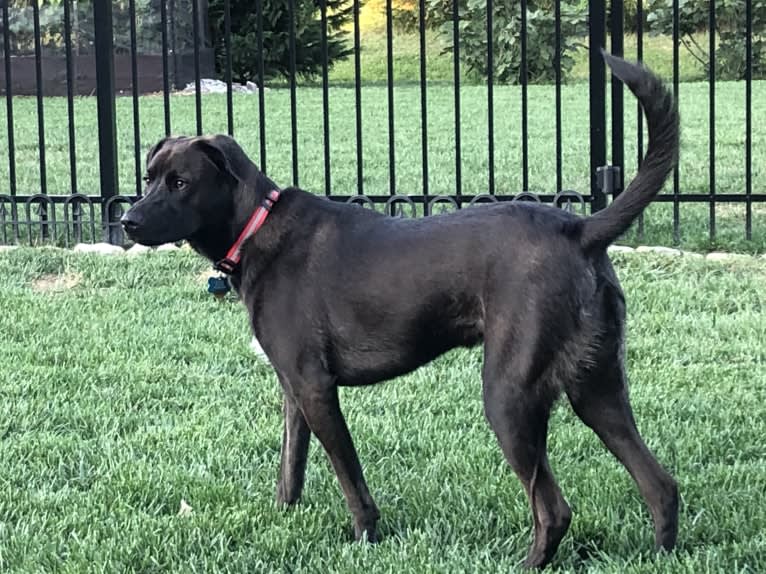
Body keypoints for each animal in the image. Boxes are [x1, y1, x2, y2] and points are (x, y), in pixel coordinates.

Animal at [123, 51, 680, 568]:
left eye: (180, 182)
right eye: (148, 177)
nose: (127, 221)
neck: (256, 228)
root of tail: (579, 229)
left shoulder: (315, 388)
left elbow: (349, 475)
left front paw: (366, 535)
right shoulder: (292, 390)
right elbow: (290, 465)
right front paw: (282, 517)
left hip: (510, 394)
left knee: (553, 508)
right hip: (597, 388)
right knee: (661, 485)